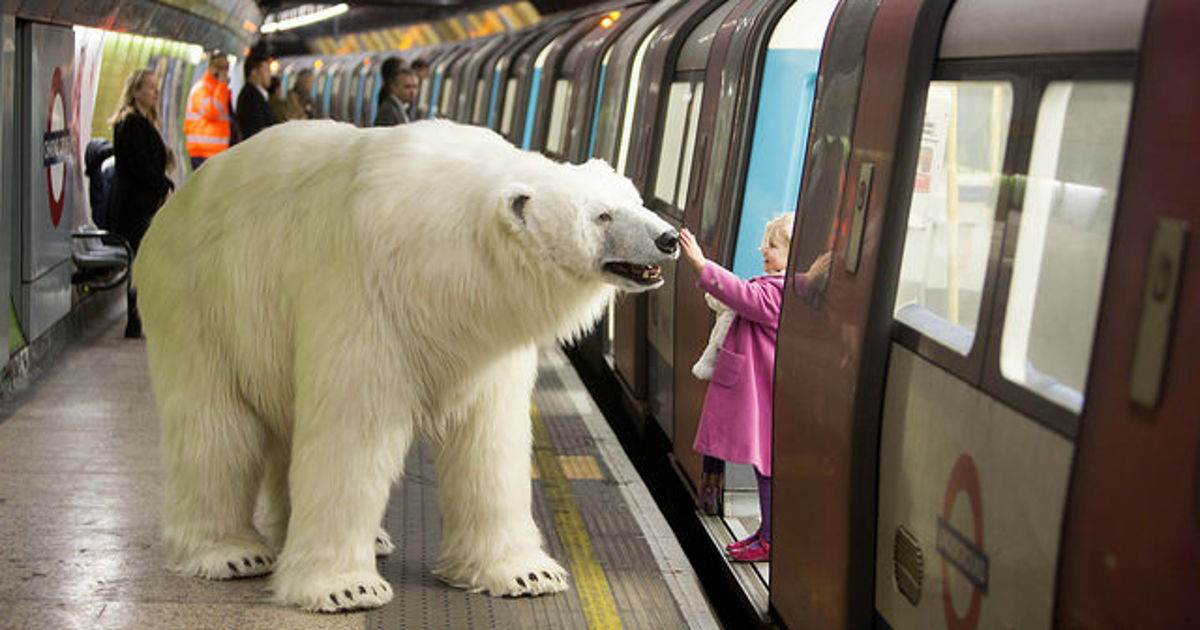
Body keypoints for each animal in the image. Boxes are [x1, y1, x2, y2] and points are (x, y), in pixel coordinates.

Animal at [132, 118, 678, 612]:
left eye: (634, 199)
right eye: (602, 216)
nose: (669, 239)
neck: (442, 260)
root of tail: (172, 208)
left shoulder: (484, 339)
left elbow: (489, 439)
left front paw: (528, 574)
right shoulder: (365, 294)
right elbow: (351, 433)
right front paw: (345, 588)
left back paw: (360, 538)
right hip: (200, 304)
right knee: (216, 429)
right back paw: (231, 553)